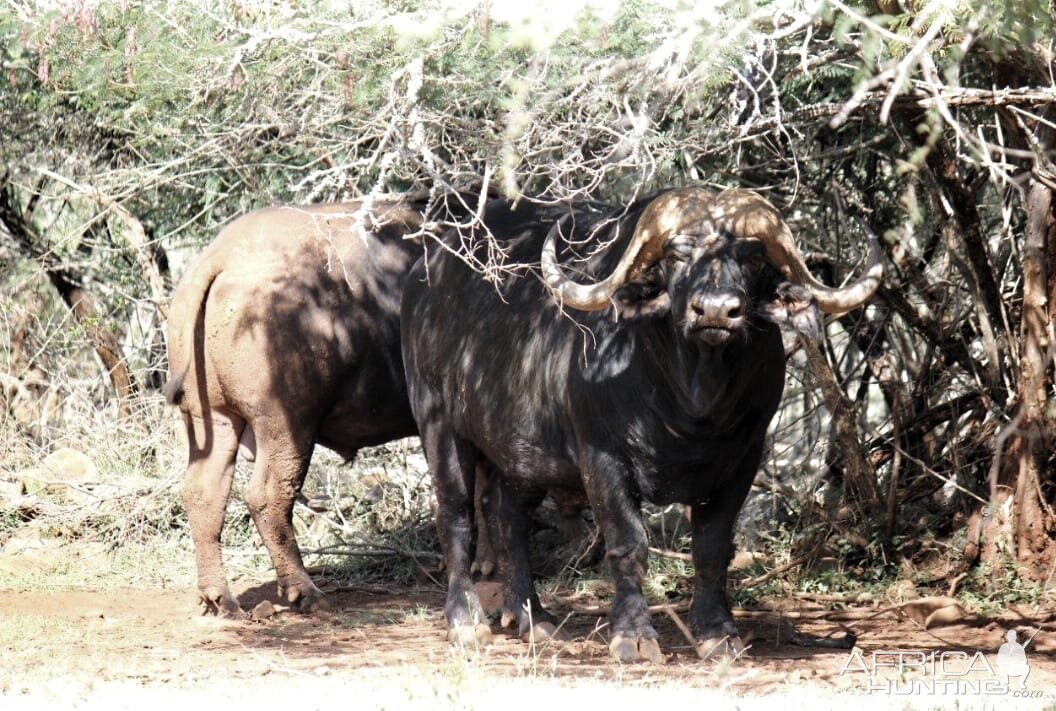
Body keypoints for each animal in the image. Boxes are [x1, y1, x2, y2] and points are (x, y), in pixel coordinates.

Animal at [399, 186, 878, 659]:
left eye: (753, 258)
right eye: (676, 255)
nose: (716, 312)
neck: (692, 407)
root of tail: (426, 275)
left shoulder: (743, 459)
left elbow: (711, 548)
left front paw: (719, 633)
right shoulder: (602, 456)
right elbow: (627, 543)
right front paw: (633, 634)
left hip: (520, 454)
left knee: (507, 516)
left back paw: (533, 619)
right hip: (439, 424)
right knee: (456, 514)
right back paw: (466, 623)